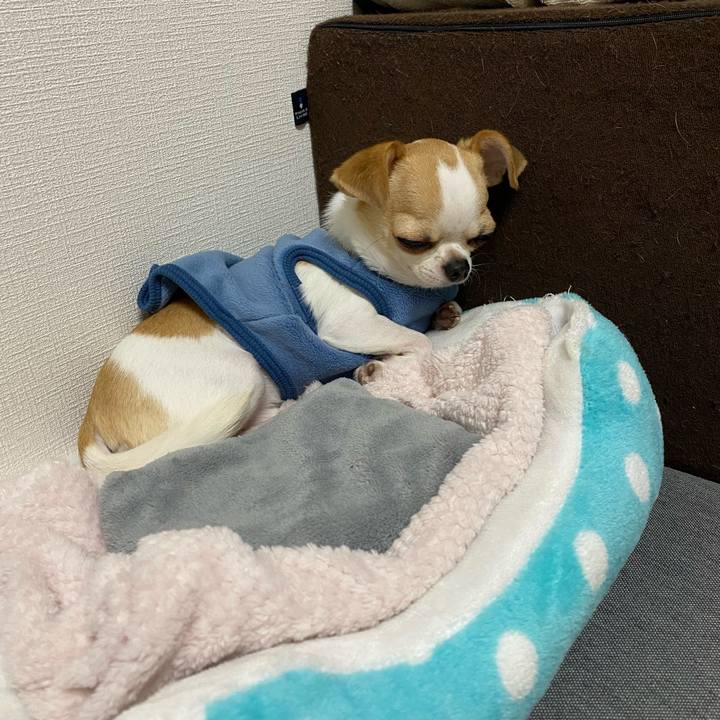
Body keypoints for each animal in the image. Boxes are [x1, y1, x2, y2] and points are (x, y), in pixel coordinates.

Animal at [78, 130, 526, 474]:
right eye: (412, 242)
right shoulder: (348, 324)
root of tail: (93, 413)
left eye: (480, 238)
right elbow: (418, 342)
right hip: (237, 378)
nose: (458, 267)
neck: (368, 262)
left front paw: (445, 314)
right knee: (213, 441)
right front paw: (398, 360)